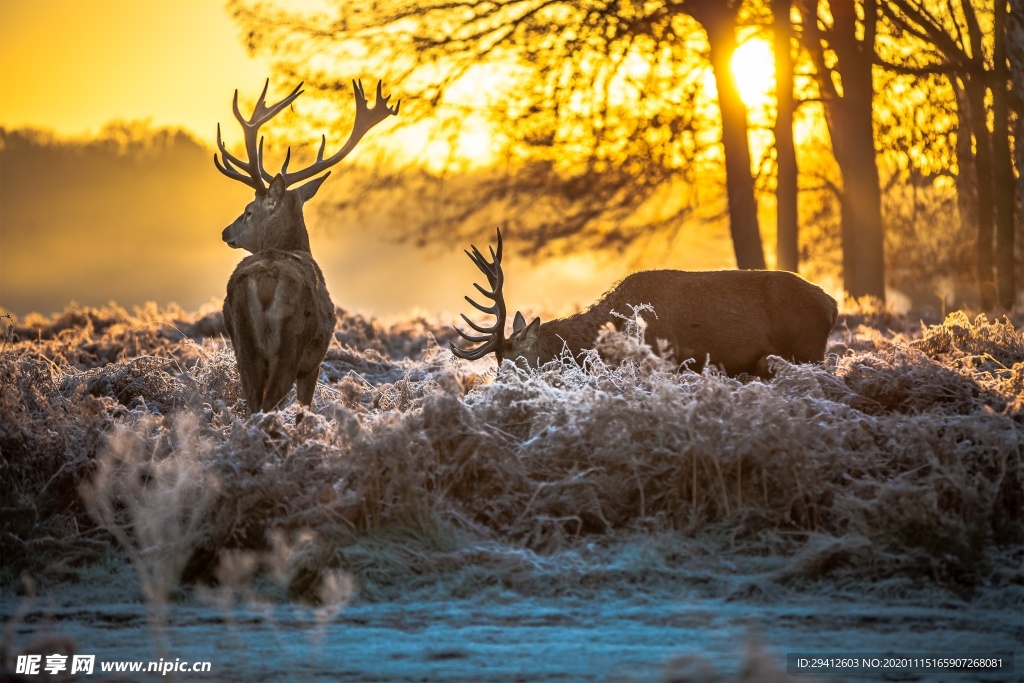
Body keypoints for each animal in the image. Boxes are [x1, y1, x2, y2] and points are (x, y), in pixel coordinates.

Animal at [217, 78, 399, 411]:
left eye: (248, 211)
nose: (226, 232)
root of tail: (266, 281)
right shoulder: (313, 363)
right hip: (291, 344)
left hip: (243, 343)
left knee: (253, 402)